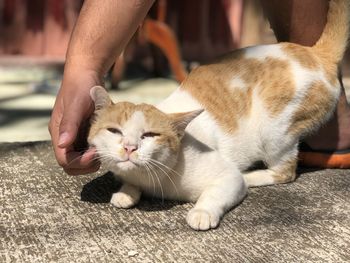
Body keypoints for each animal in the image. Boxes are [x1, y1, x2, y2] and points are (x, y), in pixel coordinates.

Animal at [87, 0, 348, 231]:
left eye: (150, 135)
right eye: (114, 131)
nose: (130, 147)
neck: (154, 178)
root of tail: (314, 54)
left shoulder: (227, 177)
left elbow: (216, 193)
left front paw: (202, 213)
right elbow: (129, 182)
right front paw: (125, 193)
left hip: (274, 131)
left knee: (285, 172)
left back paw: (252, 176)